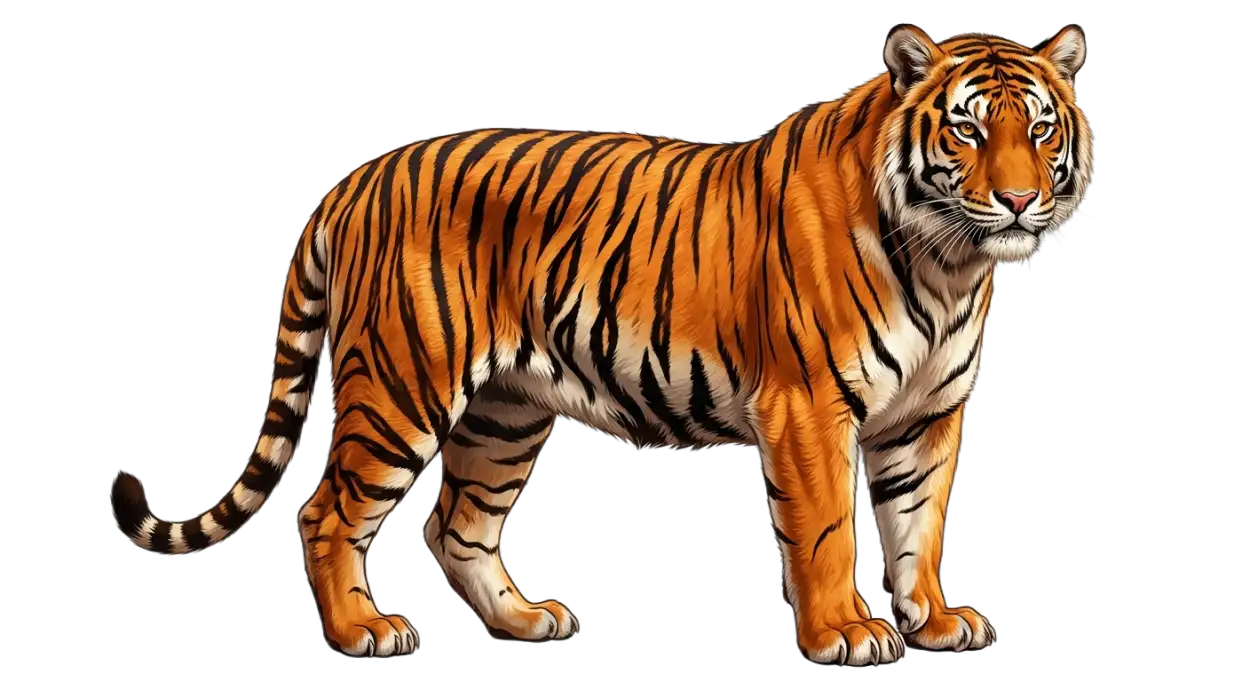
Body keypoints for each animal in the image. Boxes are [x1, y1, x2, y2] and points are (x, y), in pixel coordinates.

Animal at [109, 23, 1094, 667]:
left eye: (1041, 127)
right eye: (968, 127)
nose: (1017, 201)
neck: (950, 261)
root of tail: (357, 177)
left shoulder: (929, 415)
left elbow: (917, 525)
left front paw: (935, 621)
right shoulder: (810, 407)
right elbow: (825, 532)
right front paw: (846, 633)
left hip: (504, 412)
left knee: (456, 524)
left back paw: (524, 621)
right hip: (402, 385)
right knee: (328, 512)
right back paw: (364, 633)